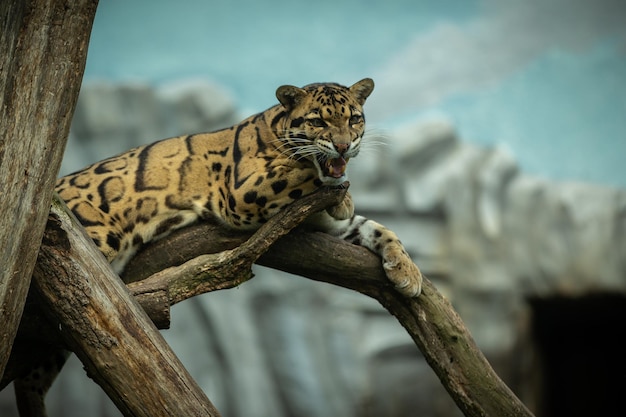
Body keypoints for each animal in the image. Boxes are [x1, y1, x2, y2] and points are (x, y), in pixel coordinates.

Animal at [14, 79, 422, 414]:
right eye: (318, 122)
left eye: (353, 118)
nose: (343, 145)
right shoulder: (241, 191)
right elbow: (306, 173)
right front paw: (340, 192)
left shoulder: (322, 224)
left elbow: (375, 227)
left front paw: (408, 273)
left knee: (31, 375)